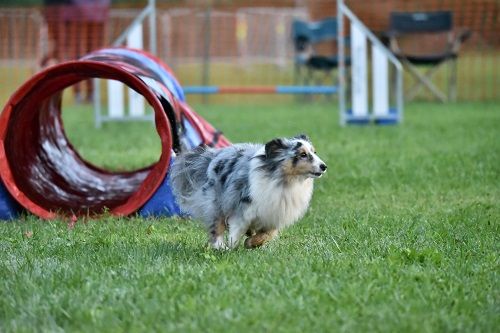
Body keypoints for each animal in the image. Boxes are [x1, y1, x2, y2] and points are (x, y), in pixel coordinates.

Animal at [171, 134, 328, 248]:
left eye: (314, 152)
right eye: (302, 154)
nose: (324, 166)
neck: (285, 181)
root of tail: (212, 155)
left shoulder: (275, 214)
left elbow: (267, 234)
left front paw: (251, 243)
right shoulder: (243, 209)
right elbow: (236, 230)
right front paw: (231, 247)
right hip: (216, 201)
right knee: (217, 225)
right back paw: (220, 246)